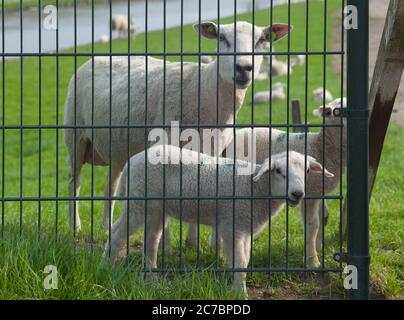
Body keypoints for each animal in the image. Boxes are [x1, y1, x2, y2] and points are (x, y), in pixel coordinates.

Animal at [63, 20, 292, 230]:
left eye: (261, 40)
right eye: (221, 38)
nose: (243, 68)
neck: (203, 90)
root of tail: (96, 58)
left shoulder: (211, 152)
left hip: (116, 146)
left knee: (110, 184)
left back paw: (105, 227)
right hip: (75, 135)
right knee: (75, 182)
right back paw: (75, 226)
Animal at [104, 145, 334, 296]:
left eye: (306, 171)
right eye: (278, 171)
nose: (297, 194)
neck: (255, 189)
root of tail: (132, 161)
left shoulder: (244, 227)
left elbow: (245, 261)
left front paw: (236, 286)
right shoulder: (232, 225)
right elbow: (239, 262)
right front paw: (239, 293)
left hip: (156, 209)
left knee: (151, 241)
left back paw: (152, 279)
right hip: (138, 202)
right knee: (116, 233)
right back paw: (107, 267)